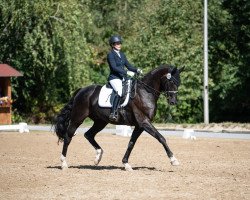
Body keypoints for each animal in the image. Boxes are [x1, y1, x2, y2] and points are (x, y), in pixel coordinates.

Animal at [54, 64, 184, 170]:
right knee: (68, 137)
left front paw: (126, 164)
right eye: (171, 82)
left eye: (178, 83)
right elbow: (161, 137)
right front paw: (174, 160)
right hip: (78, 118)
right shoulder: (144, 122)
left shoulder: (139, 126)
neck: (145, 92)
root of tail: (81, 90)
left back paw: (98, 157)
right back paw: (64, 163)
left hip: (100, 122)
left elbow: (131, 143)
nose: (173, 102)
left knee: (89, 134)